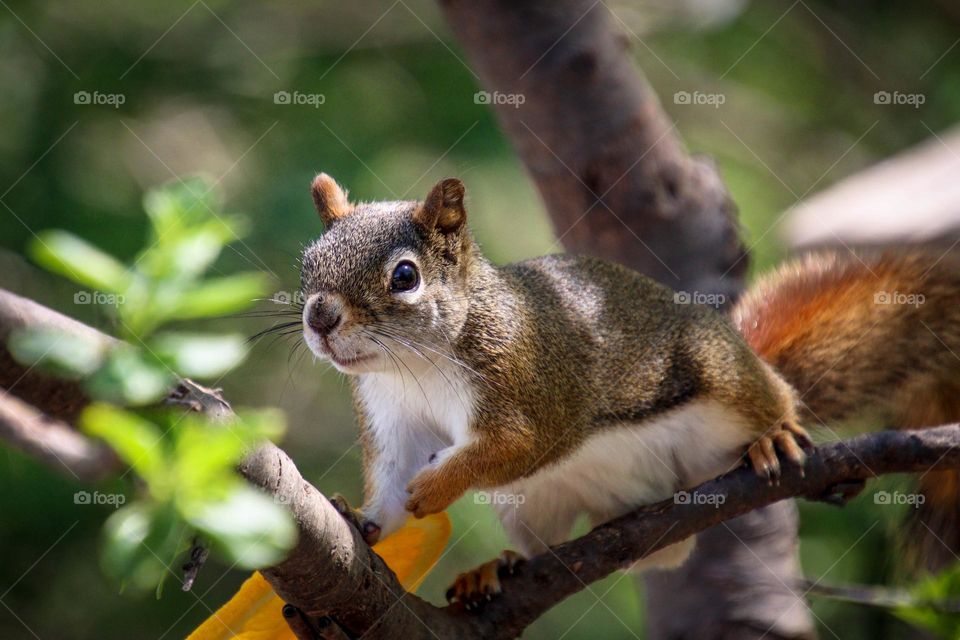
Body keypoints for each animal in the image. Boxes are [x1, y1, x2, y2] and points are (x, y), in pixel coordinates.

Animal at [299, 173, 960, 608]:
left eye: (405, 276)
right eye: (308, 265)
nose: (320, 317)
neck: (412, 365)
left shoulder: (536, 384)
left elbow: (514, 448)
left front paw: (436, 486)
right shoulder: (388, 415)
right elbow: (390, 482)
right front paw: (361, 519)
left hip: (721, 373)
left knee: (772, 396)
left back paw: (775, 436)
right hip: (532, 504)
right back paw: (498, 567)